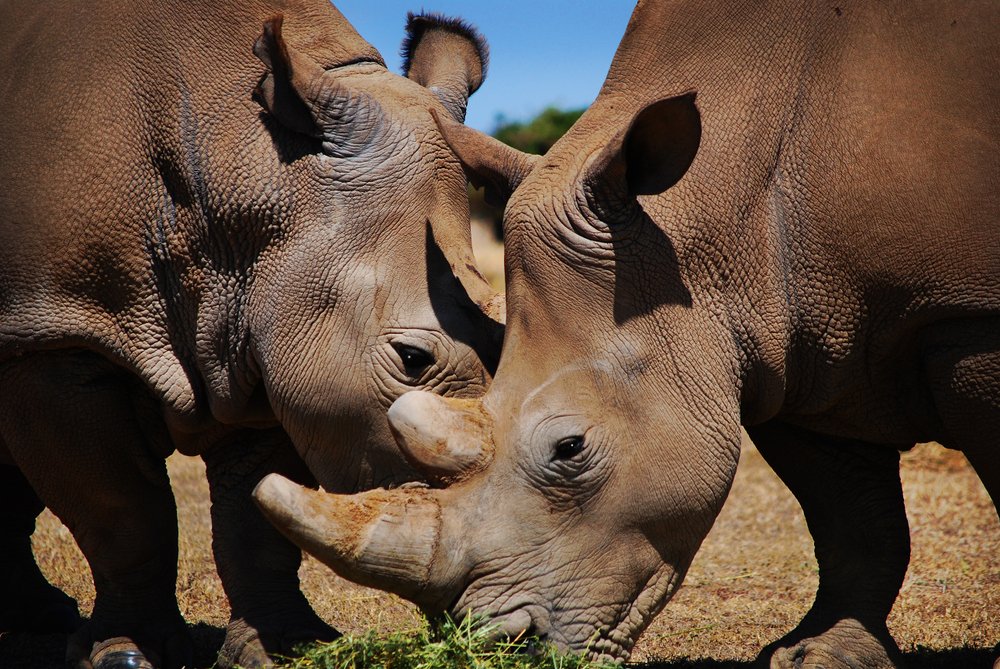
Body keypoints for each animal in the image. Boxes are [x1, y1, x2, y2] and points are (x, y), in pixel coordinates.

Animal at [0, 1, 502, 667]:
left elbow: (254, 519)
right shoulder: (54, 334)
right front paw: (128, 657)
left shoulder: (268, 342)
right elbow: (123, 512)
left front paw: (286, 648)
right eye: (413, 358)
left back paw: (40, 619)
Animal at [255, 0, 999, 666]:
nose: (505, 644)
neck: (702, 222)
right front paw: (819, 654)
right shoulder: (792, 343)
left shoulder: (968, 318)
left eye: (570, 448)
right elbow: (853, 520)